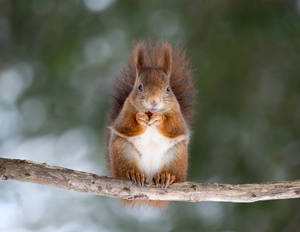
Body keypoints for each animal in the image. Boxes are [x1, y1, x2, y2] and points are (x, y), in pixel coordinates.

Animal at [105, 41, 197, 207]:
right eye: (139, 87)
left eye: (168, 89)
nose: (153, 102)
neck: (150, 114)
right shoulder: (125, 111)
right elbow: (126, 125)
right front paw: (139, 118)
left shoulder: (177, 115)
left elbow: (174, 127)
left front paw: (160, 118)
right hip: (122, 151)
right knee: (125, 170)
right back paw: (134, 173)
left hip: (177, 155)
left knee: (175, 174)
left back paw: (166, 176)